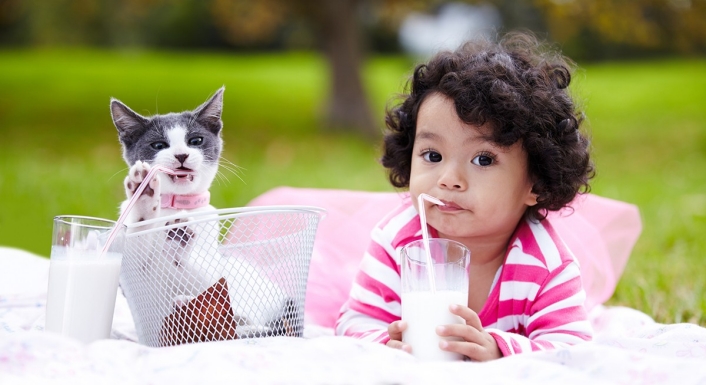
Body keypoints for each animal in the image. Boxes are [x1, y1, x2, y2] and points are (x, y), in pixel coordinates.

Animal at [109, 88, 294, 344]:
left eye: (195, 140)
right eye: (158, 145)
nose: (181, 155)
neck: (175, 206)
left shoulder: (211, 271)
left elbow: (204, 278)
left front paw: (178, 239)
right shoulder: (131, 274)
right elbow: (136, 245)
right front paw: (142, 192)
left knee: (253, 323)